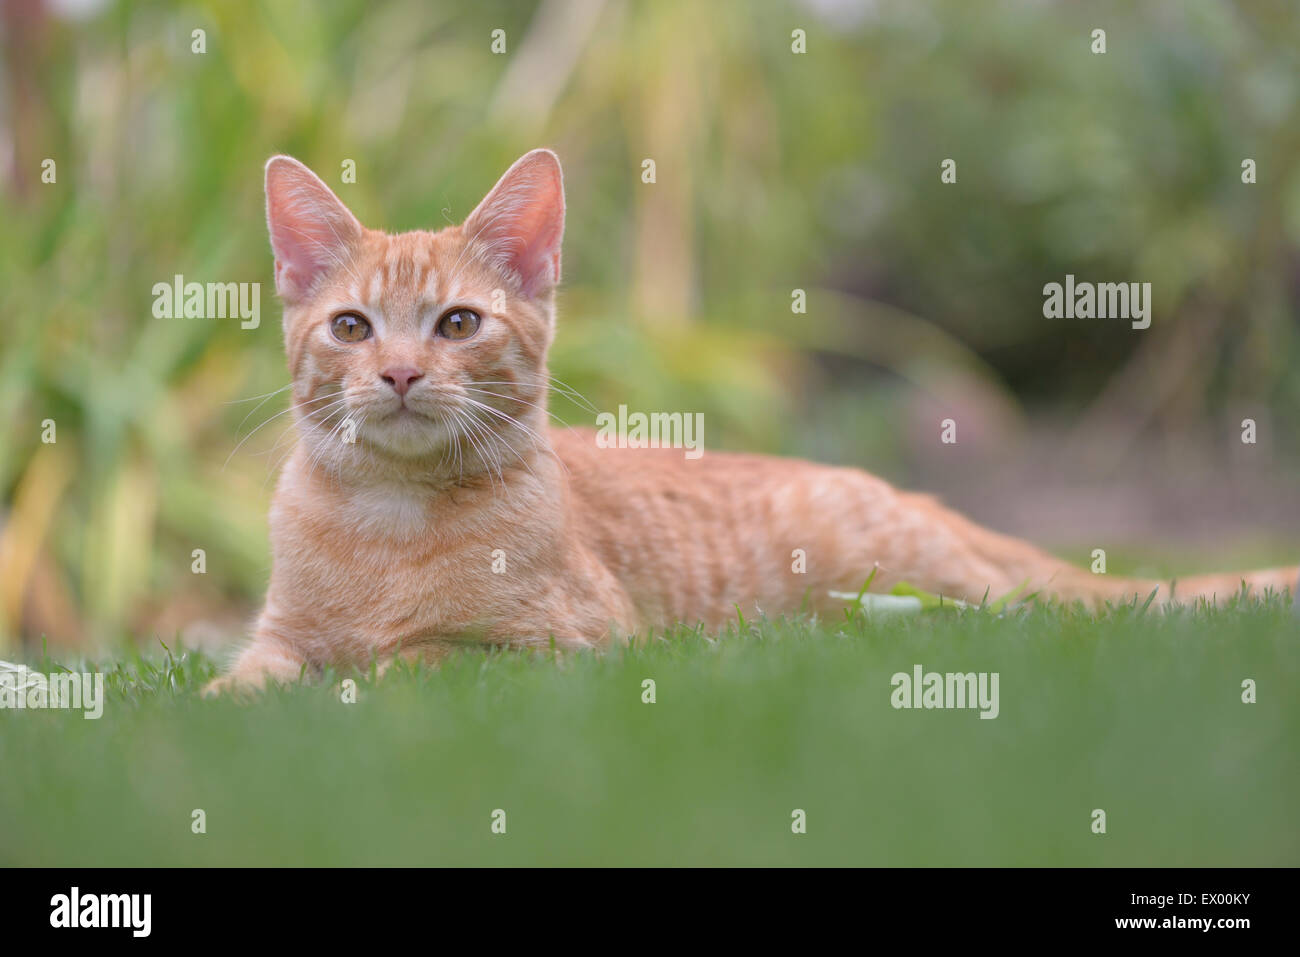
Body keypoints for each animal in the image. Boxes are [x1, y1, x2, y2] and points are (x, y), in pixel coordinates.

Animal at [205, 145, 1300, 691]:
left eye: (458, 323)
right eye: (352, 326)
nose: (395, 372)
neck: (387, 521)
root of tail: (906, 493)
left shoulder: (565, 644)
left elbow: (419, 659)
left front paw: (369, 669)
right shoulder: (276, 635)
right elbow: (247, 678)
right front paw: (236, 701)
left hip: (921, 586)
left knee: (1031, 609)